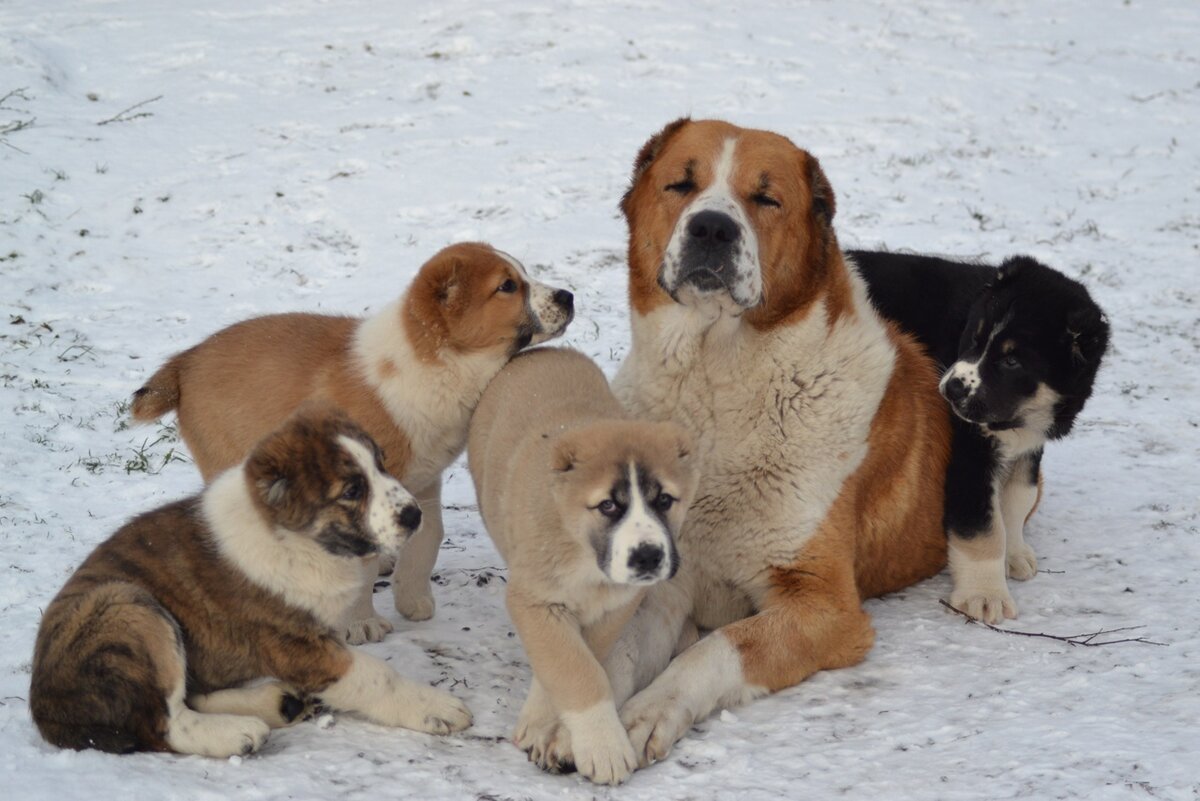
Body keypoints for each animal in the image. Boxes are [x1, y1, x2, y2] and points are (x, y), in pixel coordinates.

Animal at [28, 412, 468, 757]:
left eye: (382, 466)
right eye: (352, 490)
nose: (414, 514)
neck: (300, 541)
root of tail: (42, 705)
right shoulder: (299, 646)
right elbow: (378, 675)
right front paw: (437, 707)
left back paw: (278, 703)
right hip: (129, 607)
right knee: (162, 722)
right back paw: (237, 732)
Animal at [133, 241, 573, 642]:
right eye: (507, 286)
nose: (567, 296)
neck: (436, 362)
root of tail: (184, 362)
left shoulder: (425, 478)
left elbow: (428, 537)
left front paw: (411, 599)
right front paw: (361, 623)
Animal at [465, 347, 700, 786]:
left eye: (664, 500)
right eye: (607, 505)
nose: (647, 557)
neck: (585, 557)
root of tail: (544, 350)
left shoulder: (615, 607)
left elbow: (582, 659)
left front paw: (549, 724)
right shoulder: (534, 598)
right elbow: (572, 666)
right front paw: (603, 746)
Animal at [585, 120, 950, 767]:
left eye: (766, 198)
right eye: (681, 184)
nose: (712, 227)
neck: (715, 382)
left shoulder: (824, 607)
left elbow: (717, 650)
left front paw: (651, 710)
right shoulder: (664, 574)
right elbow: (624, 646)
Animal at [849, 248, 1108, 618]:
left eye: (1012, 362)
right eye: (975, 336)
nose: (952, 388)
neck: (1018, 416)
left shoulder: (1027, 447)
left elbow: (1017, 499)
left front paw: (1014, 554)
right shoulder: (968, 456)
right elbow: (983, 528)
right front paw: (985, 596)